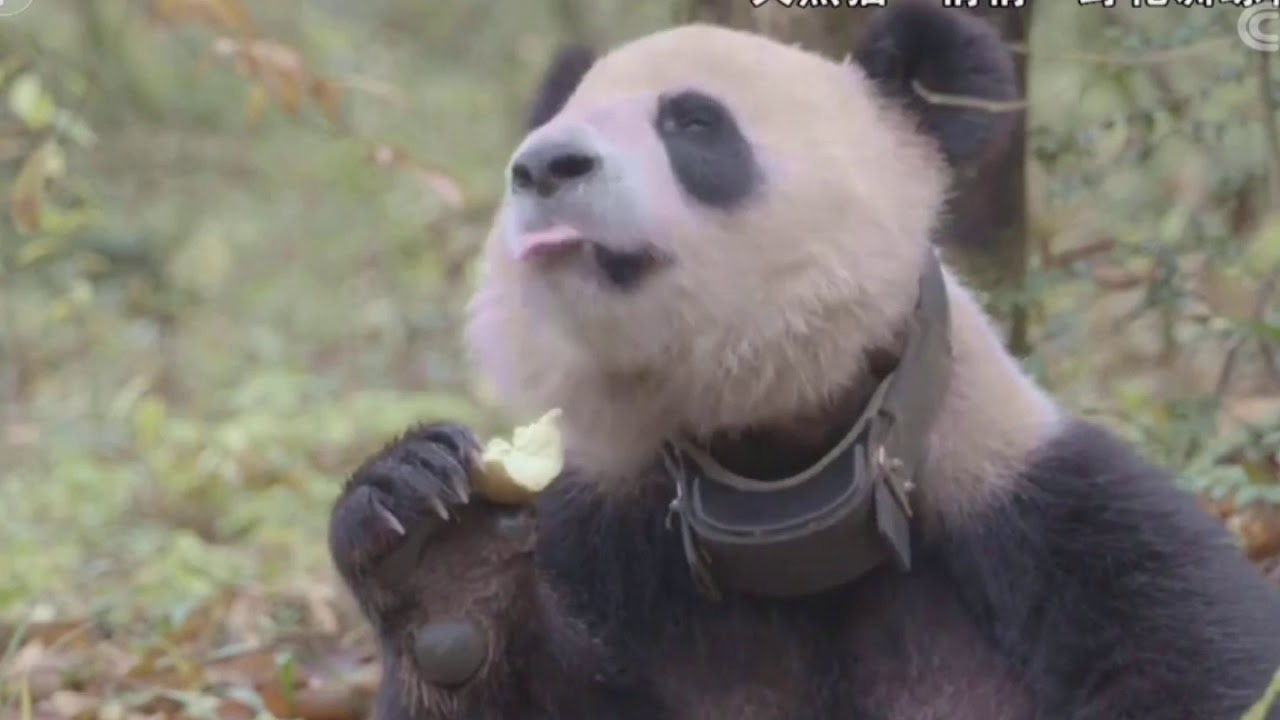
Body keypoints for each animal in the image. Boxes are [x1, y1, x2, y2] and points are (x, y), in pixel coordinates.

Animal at [327, 2, 1280, 718]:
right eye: (557, 129)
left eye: (693, 123)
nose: (544, 165)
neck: (780, 467)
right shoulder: (602, 532)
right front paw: (440, 554)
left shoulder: (1058, 522)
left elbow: (1200, 654)